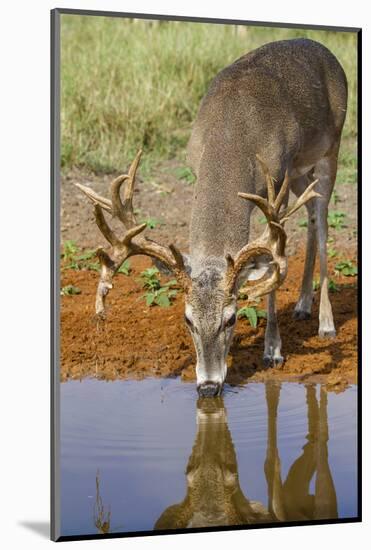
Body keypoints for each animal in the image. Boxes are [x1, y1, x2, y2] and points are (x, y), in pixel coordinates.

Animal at [77, 40, 350, 402]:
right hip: (300, 174)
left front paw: (273, 350)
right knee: (311, 218)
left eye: (231, 319)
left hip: (330, 148)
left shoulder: (277, 180)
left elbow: (272, 265)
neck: (231, 135)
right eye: (187, 319)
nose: (208, 386)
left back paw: (325, 323)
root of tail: (323, 48)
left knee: (322, 221)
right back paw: (303, 304)